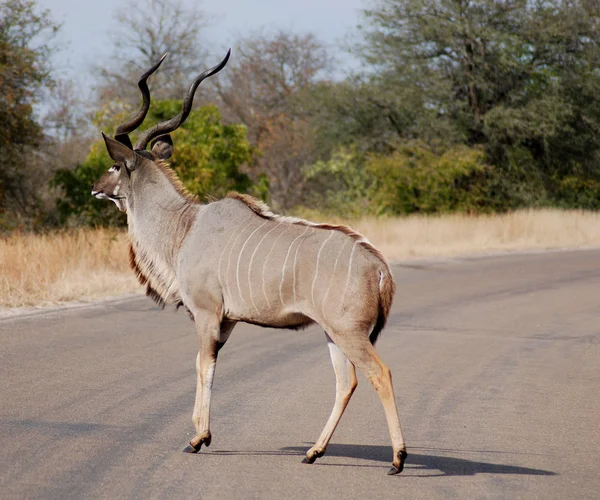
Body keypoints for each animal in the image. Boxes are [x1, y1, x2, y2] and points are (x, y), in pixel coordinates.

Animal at [90, 50, 408, 476]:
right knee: (347, 382)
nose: (95, 187)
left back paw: (398, 459)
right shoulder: (226, 322)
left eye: (113, 166)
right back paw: (314, 452)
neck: (185, 227)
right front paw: (200, 435)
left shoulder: (207, 314)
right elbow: (204, 364)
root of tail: (378, 266)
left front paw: (198, 439)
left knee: (379, 374)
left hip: (349, 333)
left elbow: (203, 366)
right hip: (335, 334)